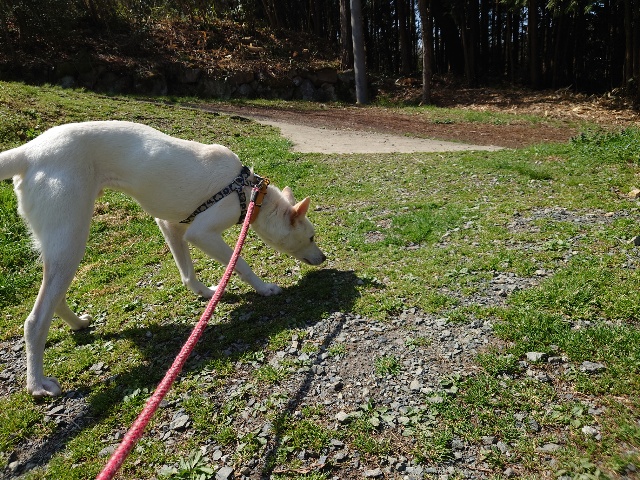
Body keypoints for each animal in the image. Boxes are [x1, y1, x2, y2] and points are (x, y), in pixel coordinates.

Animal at [0, 120, 326, 397]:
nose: (323, 258)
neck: (251, 193)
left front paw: (205, 292)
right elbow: (241, 264)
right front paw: (264, 288)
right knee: (35, 320)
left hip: (62, 245)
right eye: (311, 238)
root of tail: (30, 151)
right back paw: (37, 384)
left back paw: (77, 323)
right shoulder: (203, 233)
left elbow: (187, 272)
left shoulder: (171, 227)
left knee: (54, 297)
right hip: (71, 238)